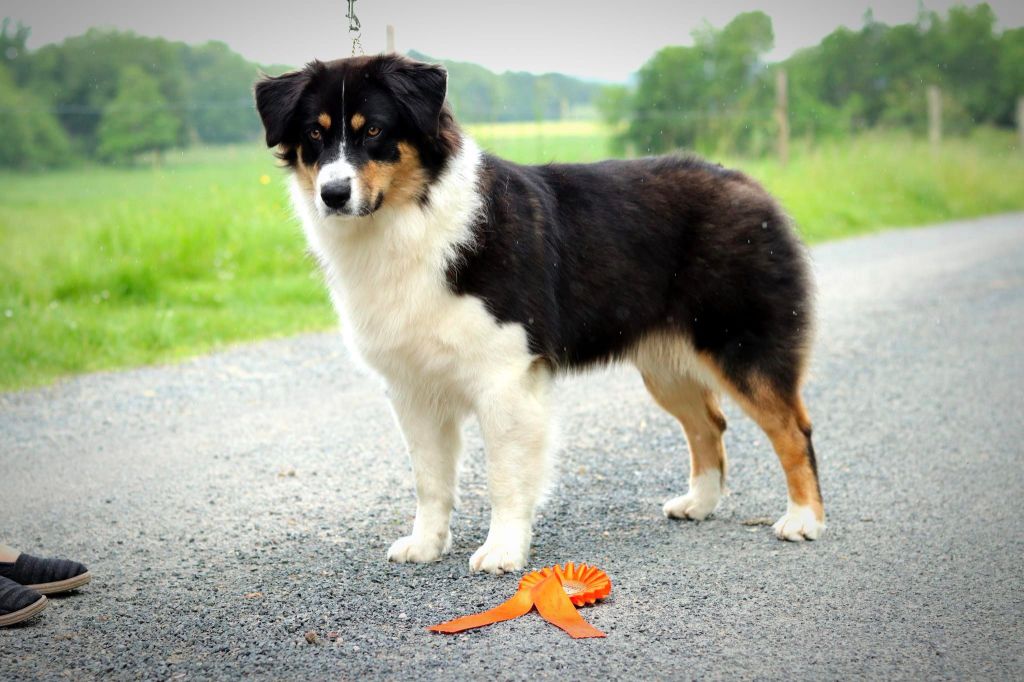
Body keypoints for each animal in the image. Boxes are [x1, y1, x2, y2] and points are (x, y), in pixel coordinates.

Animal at [256, 54, 823, 573]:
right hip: (665, 364)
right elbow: (430, 479)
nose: (333, 194)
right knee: (709, 423)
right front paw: (426, 544)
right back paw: (700, 504)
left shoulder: (505, 377)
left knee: (793, 430)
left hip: (743, 348)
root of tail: (749, 185)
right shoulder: (412, 387)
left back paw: (804, 520)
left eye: (373, 129)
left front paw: (503, 551)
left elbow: (505, 477)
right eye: (314, 134)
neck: (410, 222)